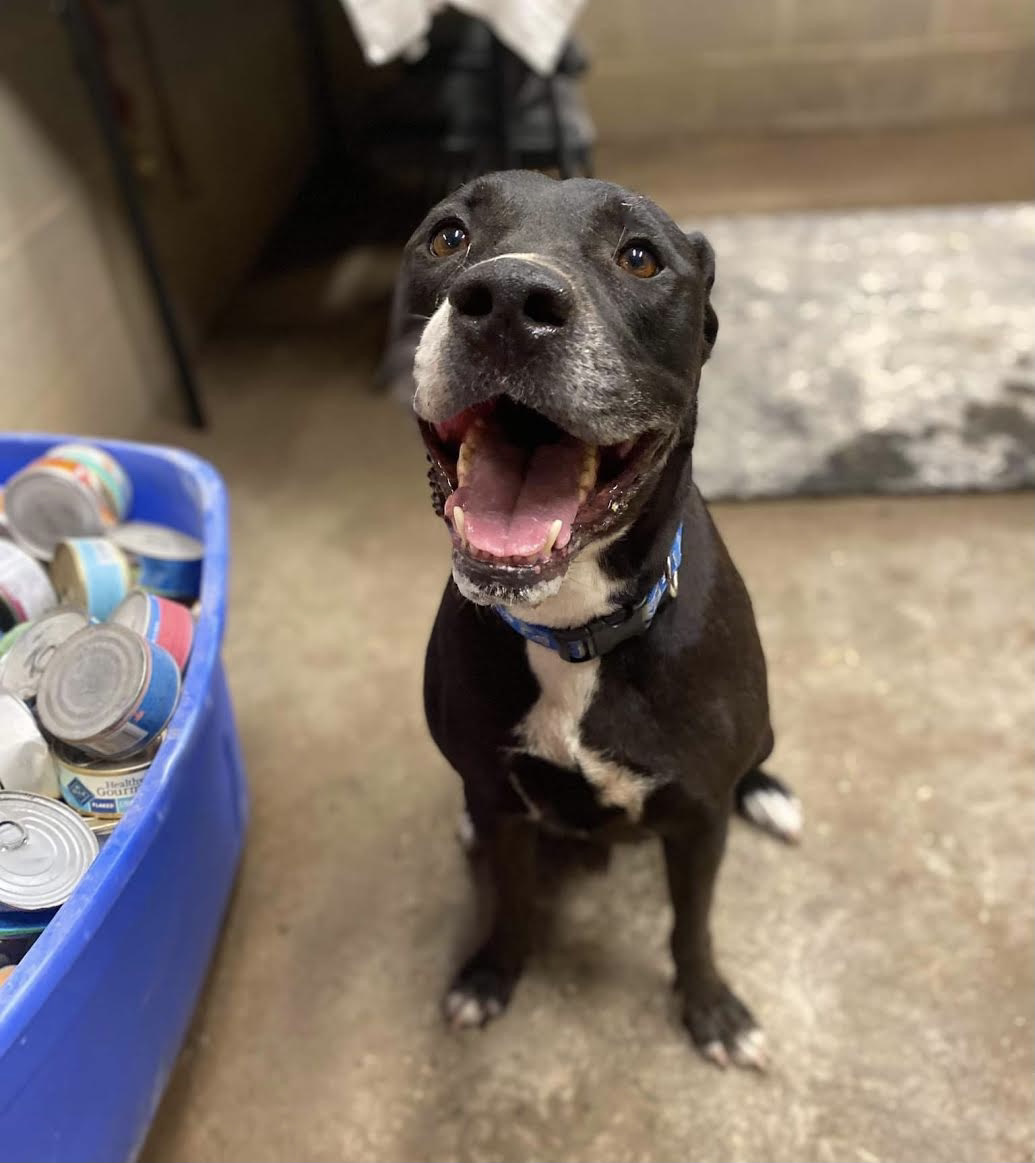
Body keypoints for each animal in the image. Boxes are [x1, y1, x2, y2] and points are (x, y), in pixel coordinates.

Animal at [402, 168, 800, 1065]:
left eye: (640, 257)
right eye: (447, 235)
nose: (507, 301)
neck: (571, 630)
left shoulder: (697, 820)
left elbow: (692, 926)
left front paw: (711, 1008)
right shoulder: (501, 799)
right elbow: (510, 901)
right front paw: (491, 974)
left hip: (759, 734)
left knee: (756, 761)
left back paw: (768, 795)